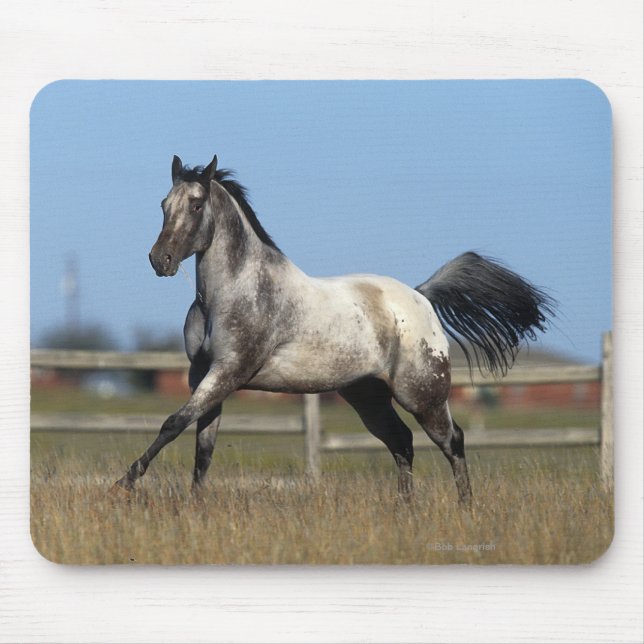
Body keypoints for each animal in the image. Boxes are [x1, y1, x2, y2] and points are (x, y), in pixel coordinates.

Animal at [112, 154, 554, 504]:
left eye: (197, 204)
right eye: (164, 204)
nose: (160, 260)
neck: (234, 292)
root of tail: (420, 296)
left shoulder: (228, 372)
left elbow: (173, 424)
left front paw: (123, 484)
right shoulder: (203, 376)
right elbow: (202, 447)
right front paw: (195, 506)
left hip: (422, 395)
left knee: (452, 441)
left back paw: (465, 508)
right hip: (367, 396)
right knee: (402, 443)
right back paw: (404, 510)